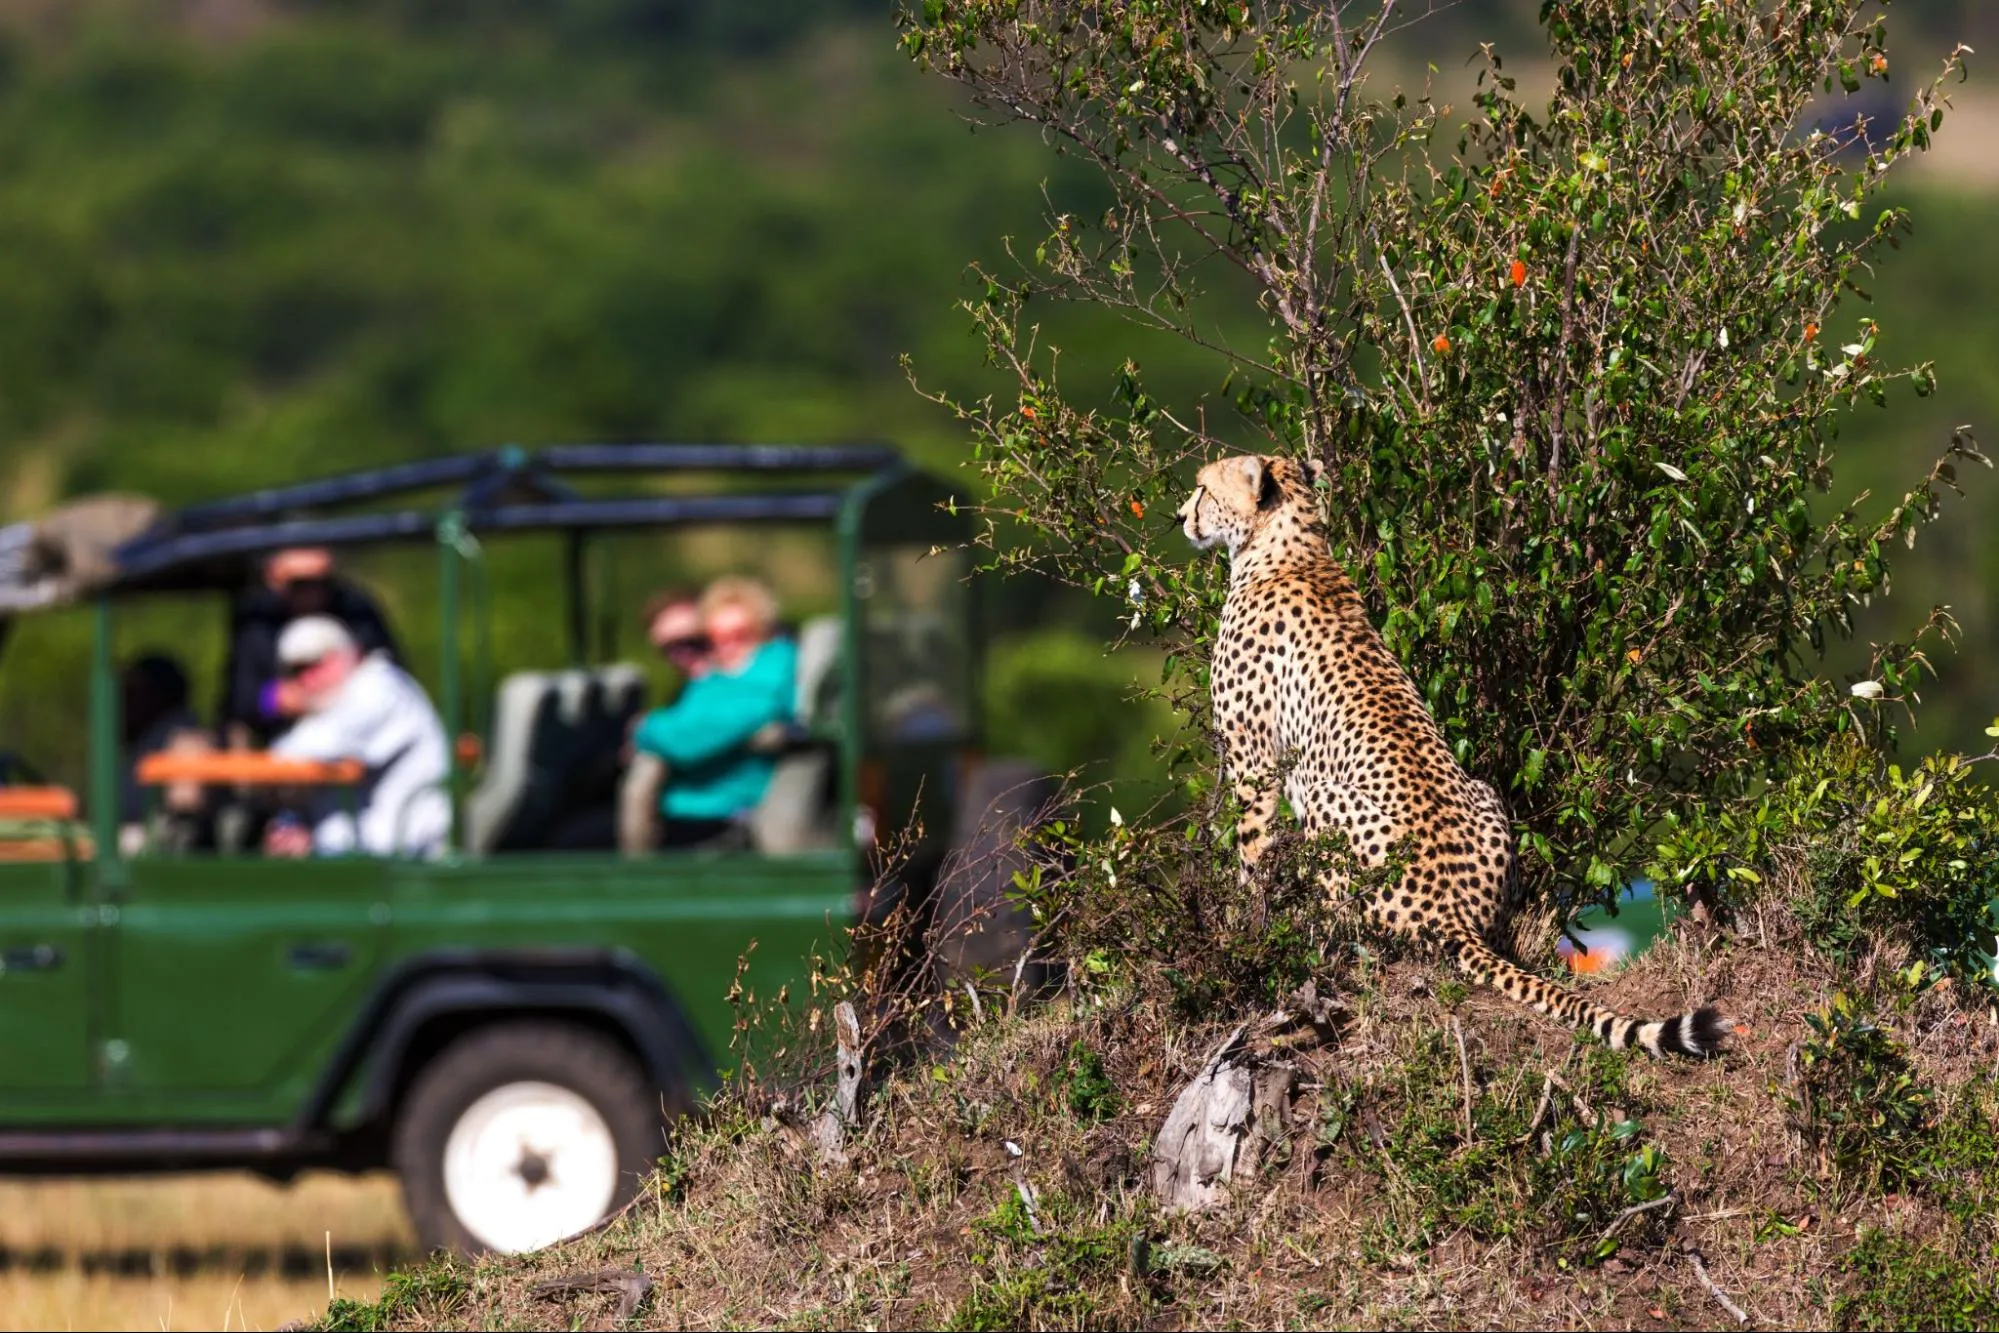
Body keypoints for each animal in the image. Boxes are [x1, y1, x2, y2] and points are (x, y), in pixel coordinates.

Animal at [1175, 453, 1727, 1055]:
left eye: (1203, 489)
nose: (1180, 515)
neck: (1287, 546)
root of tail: (1455, 912)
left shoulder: (1253, 762)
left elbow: (1251, 853)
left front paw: (1245, 929)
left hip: (1326, 799)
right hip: (1484, 794)